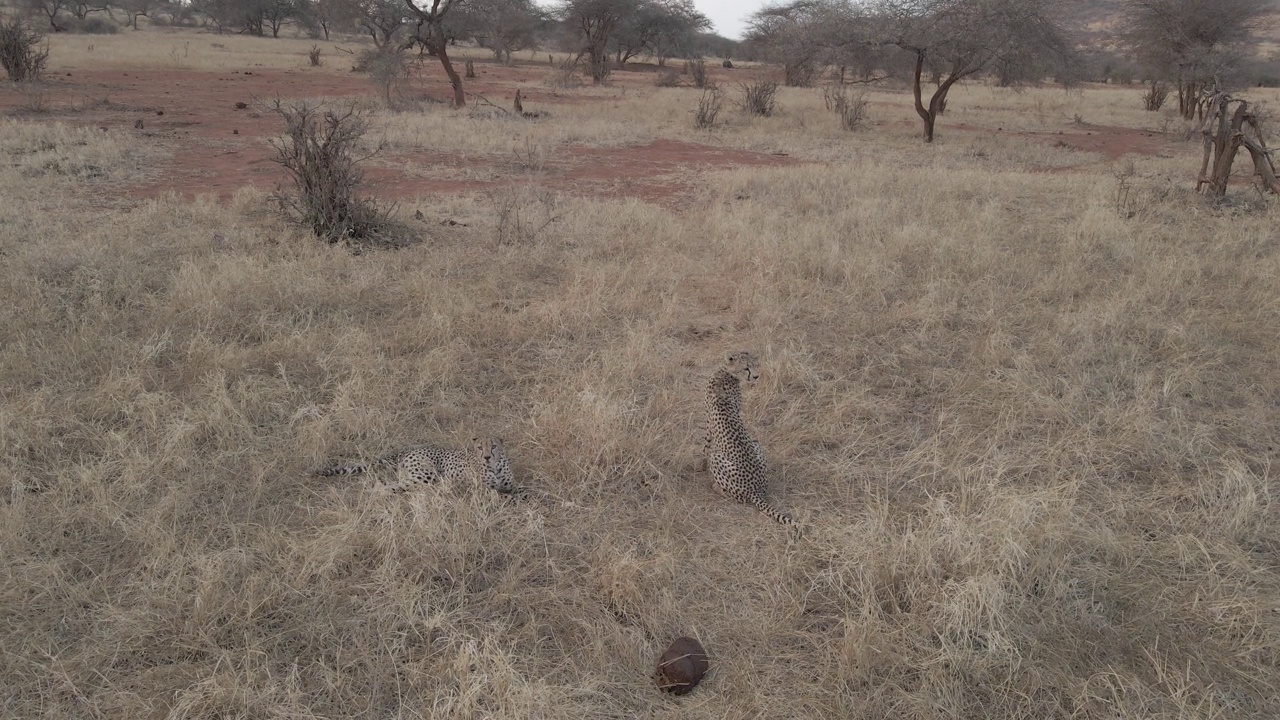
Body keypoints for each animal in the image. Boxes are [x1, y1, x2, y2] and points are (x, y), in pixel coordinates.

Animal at [316, 438, 519, 491]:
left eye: (493, 446)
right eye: (479, 447)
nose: (487, 457)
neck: (495, 467)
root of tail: (406, 450)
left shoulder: (511, 486)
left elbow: (522, 490)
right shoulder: (487, 491)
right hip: (426, 475)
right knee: (391, 486)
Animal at [706, 351, 793, 525]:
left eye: (755, 365)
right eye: (746, 368)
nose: (756, 376)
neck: (725, 371)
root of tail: (756, 491)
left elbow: (706, 443)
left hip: (718, 457)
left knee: (737, 498)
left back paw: (716, 487)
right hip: (756, 444)